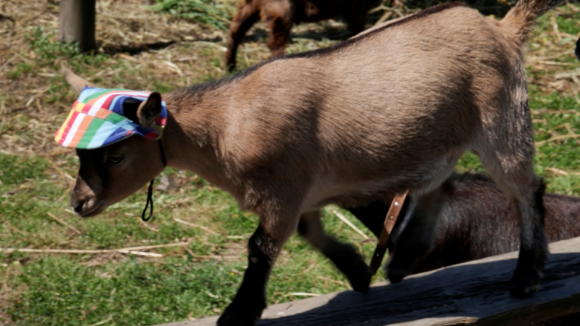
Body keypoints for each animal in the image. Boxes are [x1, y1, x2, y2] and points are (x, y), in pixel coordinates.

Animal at [225, 0, 380, 70]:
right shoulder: (357, 9)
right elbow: (357, 32)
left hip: (249, 6)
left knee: (235, 30)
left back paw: (230, 66)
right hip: (281, 10)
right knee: (275, 44)